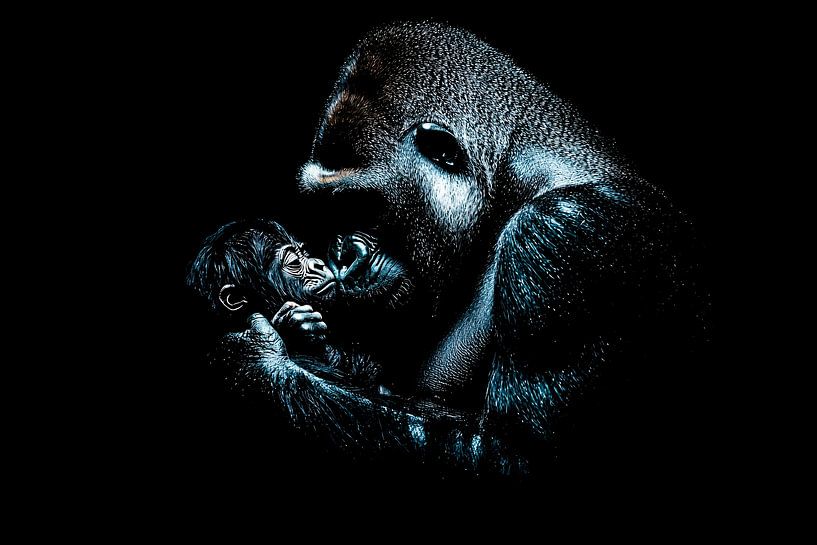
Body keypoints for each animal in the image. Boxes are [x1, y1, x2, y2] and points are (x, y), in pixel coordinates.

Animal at [204, 22, 709, 478]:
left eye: (361, 205)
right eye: (328, 211)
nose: (338, 256)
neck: (504, 183)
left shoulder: (565, 235)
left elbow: (510, 456)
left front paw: (258, 369)